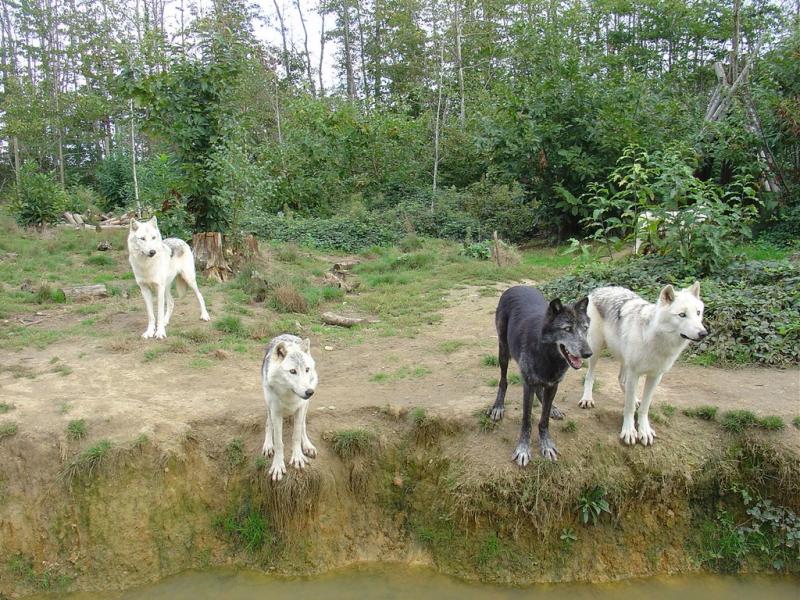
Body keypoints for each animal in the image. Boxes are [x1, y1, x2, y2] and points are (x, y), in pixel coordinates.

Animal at [261, 334, 319, 481]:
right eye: (293, 371)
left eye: (307, 369)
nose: (310, 392)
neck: (289, 396)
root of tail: (284, 335)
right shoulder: (276, 412)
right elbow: (279, 442)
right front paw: (277, 465)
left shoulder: (300, 408)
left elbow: (296, 435)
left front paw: (298, 458)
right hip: (268, 404)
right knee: (268, 423)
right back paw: (268, 445)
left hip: (306, 406)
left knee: (303, 426)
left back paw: (307, 446)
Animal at [487, 286, 592, 464]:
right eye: (567, 329)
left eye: (585, 328)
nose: (588, 353)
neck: (549, 356)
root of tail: (516, 286)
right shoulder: (528, 385)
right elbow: (526, 420)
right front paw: (523, 449)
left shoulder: (553, 384)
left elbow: (544, 420)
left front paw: (546, 444)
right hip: (503, 351)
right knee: (503, 381)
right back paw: (498, 406)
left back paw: (554, 409)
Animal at [579, 283, 707, 446]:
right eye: (682, 315)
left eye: (698, 313)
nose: (704, 333)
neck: (656, 341)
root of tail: (599, 289)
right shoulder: (634, 373)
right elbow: (628, 408)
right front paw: (629, 431)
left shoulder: (655, 376)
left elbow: (645, 407)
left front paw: (644, 430)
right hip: (595, 350)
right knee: (590, 376)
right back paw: (587, 399)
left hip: (624, 359)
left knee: (621, 380)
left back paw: (634, 399)